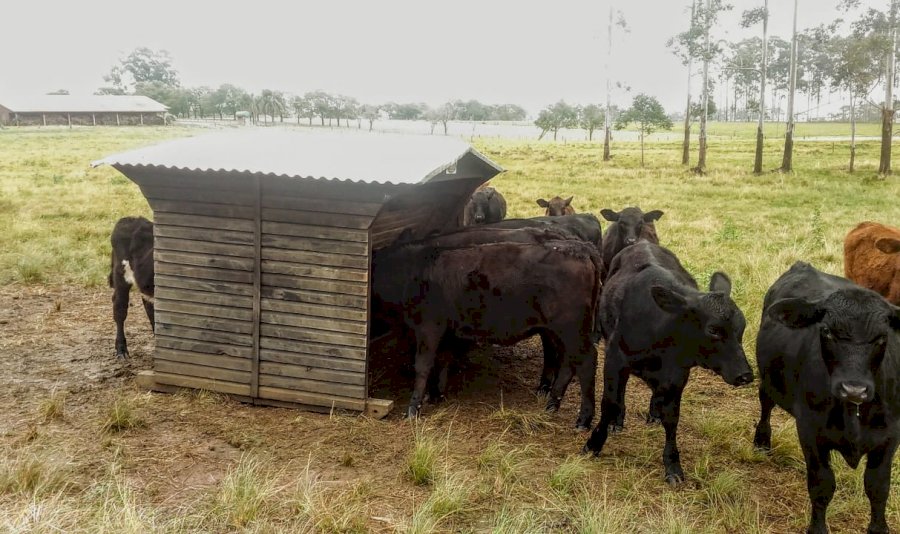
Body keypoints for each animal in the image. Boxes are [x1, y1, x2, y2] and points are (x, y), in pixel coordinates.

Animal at [372, 239, 604, 432]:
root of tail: (580, 248)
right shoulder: (446, 332)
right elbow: (443, 361)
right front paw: (437, 394)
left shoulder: (429, 327)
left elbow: (422, 366)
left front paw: (413, 408)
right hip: (557, 331)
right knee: (567, 364)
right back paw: (552, 405)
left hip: (571, 328)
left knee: (587, 362)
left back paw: (583, 420)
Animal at [584, 243, 752, 486]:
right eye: (713, 329)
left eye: (742, 327)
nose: (745, 374)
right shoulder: (615, 359)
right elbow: (610, 402)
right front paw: (594, 443)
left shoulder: (677, 374)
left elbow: (672, 418)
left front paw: (673, 465)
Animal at [756, 264, 896, 534]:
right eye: (827, 331)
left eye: (882, 337)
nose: (854, 390)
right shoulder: (810, 431)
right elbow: (822, 485)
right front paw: (817, 528)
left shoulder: (890, 437)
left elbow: (878, 487)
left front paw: (878, 528)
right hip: (767, 380)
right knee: (765, 405)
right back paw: (761, 441)